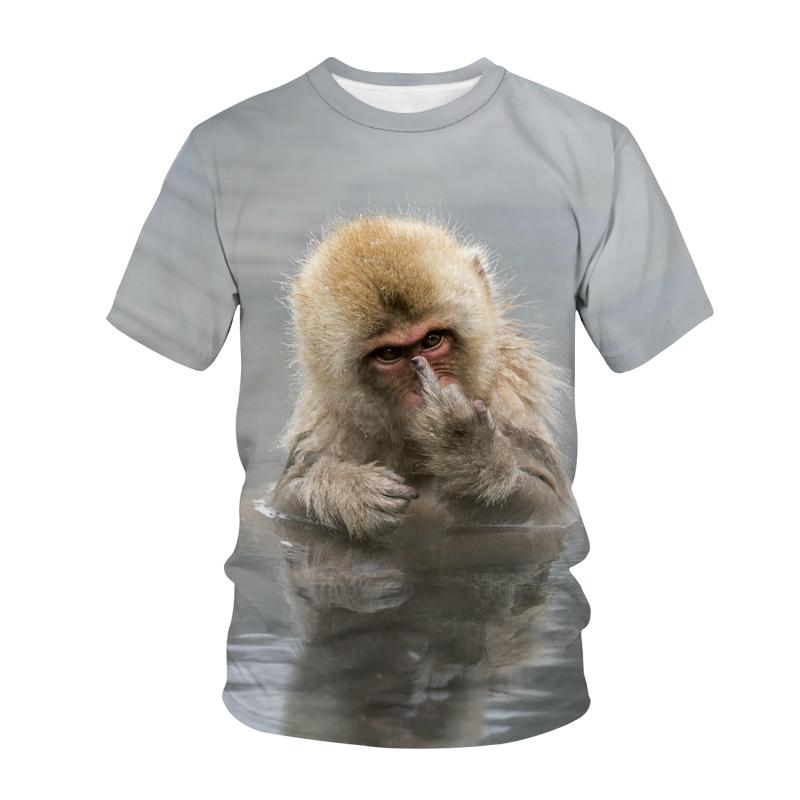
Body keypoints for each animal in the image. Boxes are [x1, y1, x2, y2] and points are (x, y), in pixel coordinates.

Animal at [270, 213, 577, 543]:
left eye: (432, 339)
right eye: (389, 353)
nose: (422, 387)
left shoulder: (511, 410)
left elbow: (552, 505)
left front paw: (465, 445)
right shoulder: (325, 429)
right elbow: (284, 498)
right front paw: (347, 489)